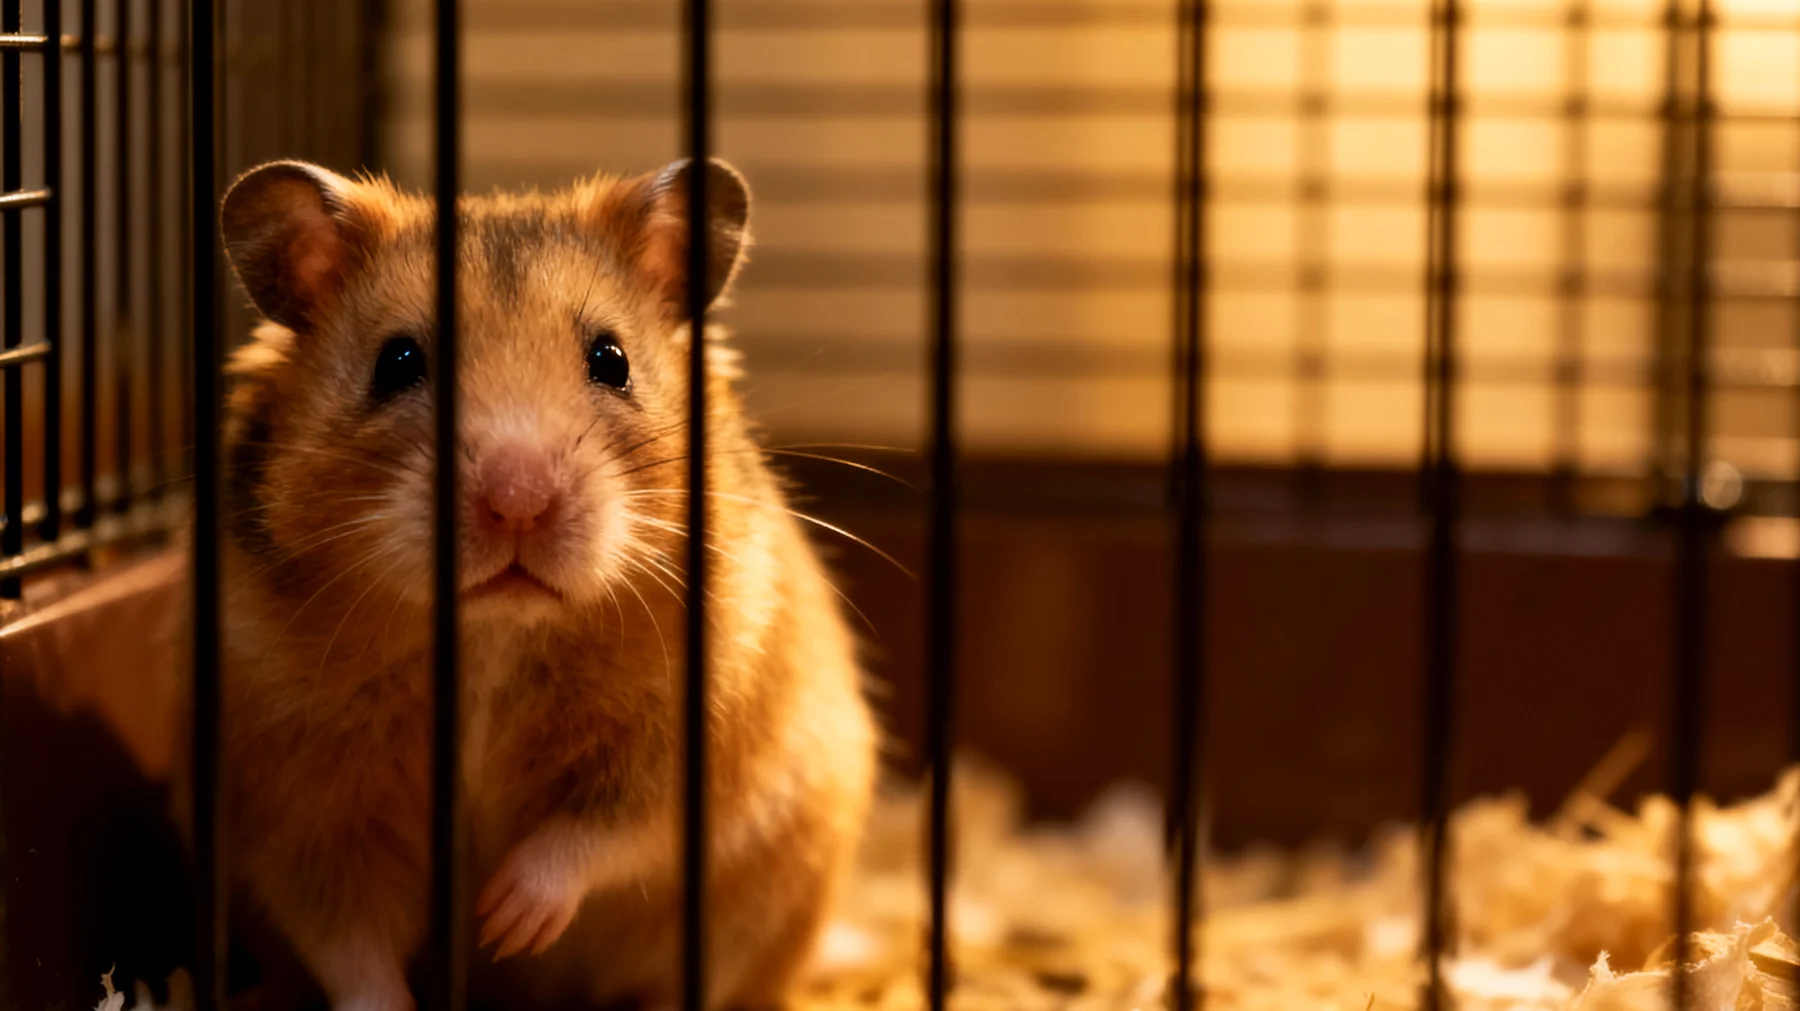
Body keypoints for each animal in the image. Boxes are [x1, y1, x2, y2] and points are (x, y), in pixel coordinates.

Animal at [199, 157, 880, 1011]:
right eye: (397, 362)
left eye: (611, 360)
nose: (517, 500)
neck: (496, 632)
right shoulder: (301, 805)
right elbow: (351, 943)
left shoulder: (696, 734)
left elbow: (599, 831)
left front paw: (505, 919)